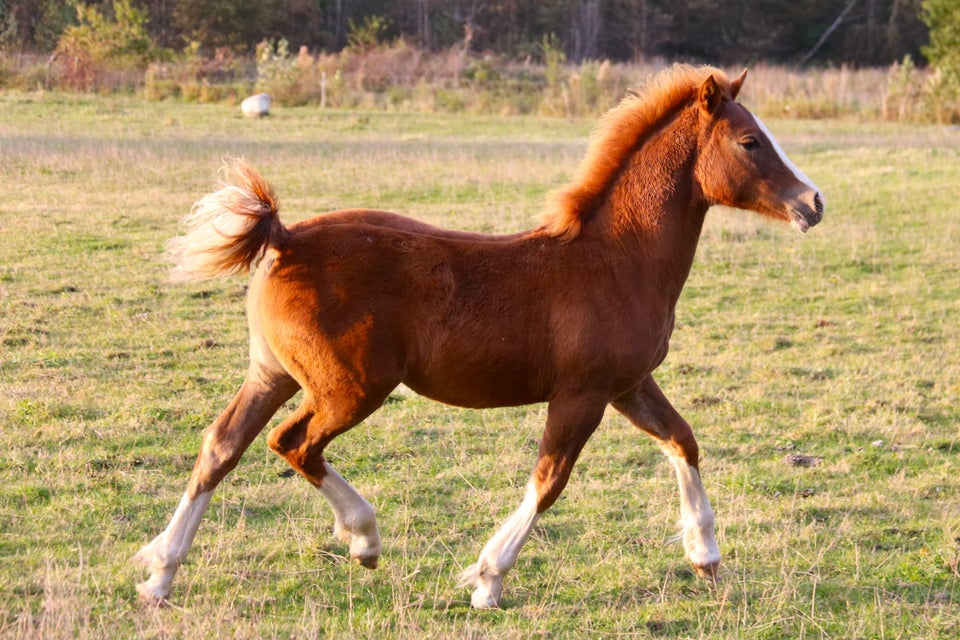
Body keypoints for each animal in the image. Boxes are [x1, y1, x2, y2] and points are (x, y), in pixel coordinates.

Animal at [135, 66, 824, 608]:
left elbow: (683, 440)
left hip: (272, 374)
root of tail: (283, 237)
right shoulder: (582, 394)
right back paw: (363, 539)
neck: (616, 258)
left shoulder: (628, 384)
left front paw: (705, 555)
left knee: (221, 447)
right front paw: (488, 580)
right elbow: (549, 480)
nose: (813, 203)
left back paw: (161, 574)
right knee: (293, 443)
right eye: (750, 141)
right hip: (350, 388)